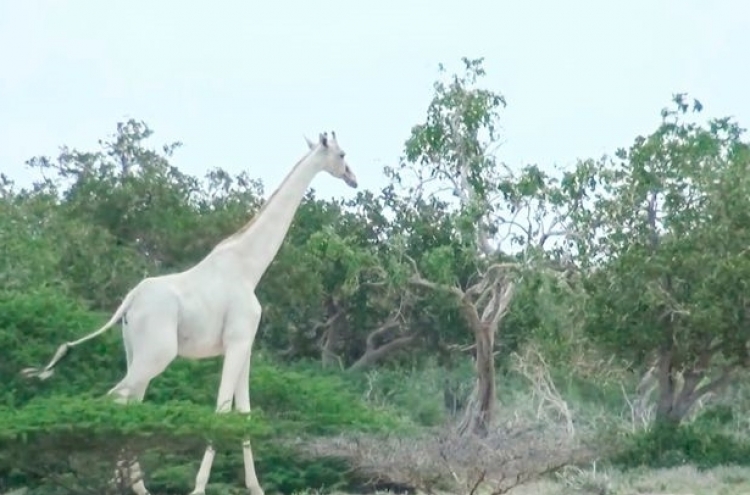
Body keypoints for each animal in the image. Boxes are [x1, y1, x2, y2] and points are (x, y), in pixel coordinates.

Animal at [25, 132, 360, 495]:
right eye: (342, 154)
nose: (353, 179)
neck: (249, 268)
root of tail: (129, 301)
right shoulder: (239, 340)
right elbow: (222, 411)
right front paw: (199, 488)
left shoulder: (244, 345)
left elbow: (244, 412)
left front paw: (256, 487)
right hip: (158, 354)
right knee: (114, 399)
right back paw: (112, 480)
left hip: (134, 351)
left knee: (130, 403)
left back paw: (133, 485)